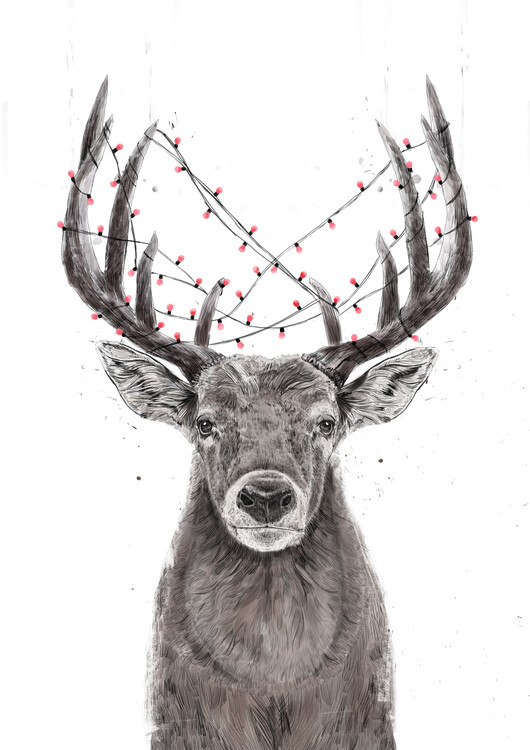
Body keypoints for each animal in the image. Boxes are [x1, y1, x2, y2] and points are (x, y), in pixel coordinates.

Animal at [61, 77, 473, 750]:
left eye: (326, 422)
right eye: (205, 422)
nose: (265, 497)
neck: (274, 688)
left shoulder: (369, 722)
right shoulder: (174, 723)